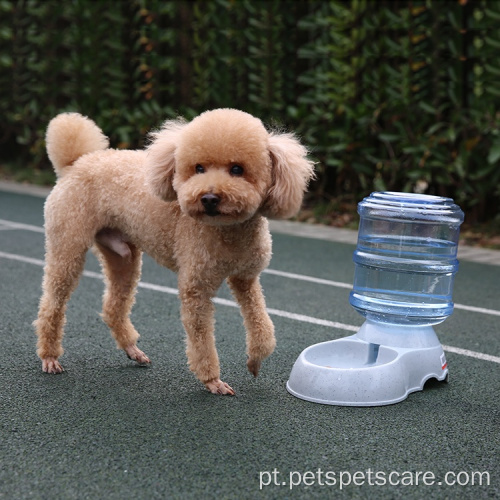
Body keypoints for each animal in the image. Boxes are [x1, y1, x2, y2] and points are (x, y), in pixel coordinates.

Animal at [35, 109, 314, 394]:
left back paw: (132, 350)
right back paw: (50, 356)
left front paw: (255, 360)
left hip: (123, 256)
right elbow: (201, 338)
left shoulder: (245, 278)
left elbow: (262, 325)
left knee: (113, 306)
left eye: (237, 169)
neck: (229, 231)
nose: (209, 198)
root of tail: (76, 162)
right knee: (52, 303)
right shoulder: (196, 287)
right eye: (199, 168)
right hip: (68, 245)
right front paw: (212, 380)